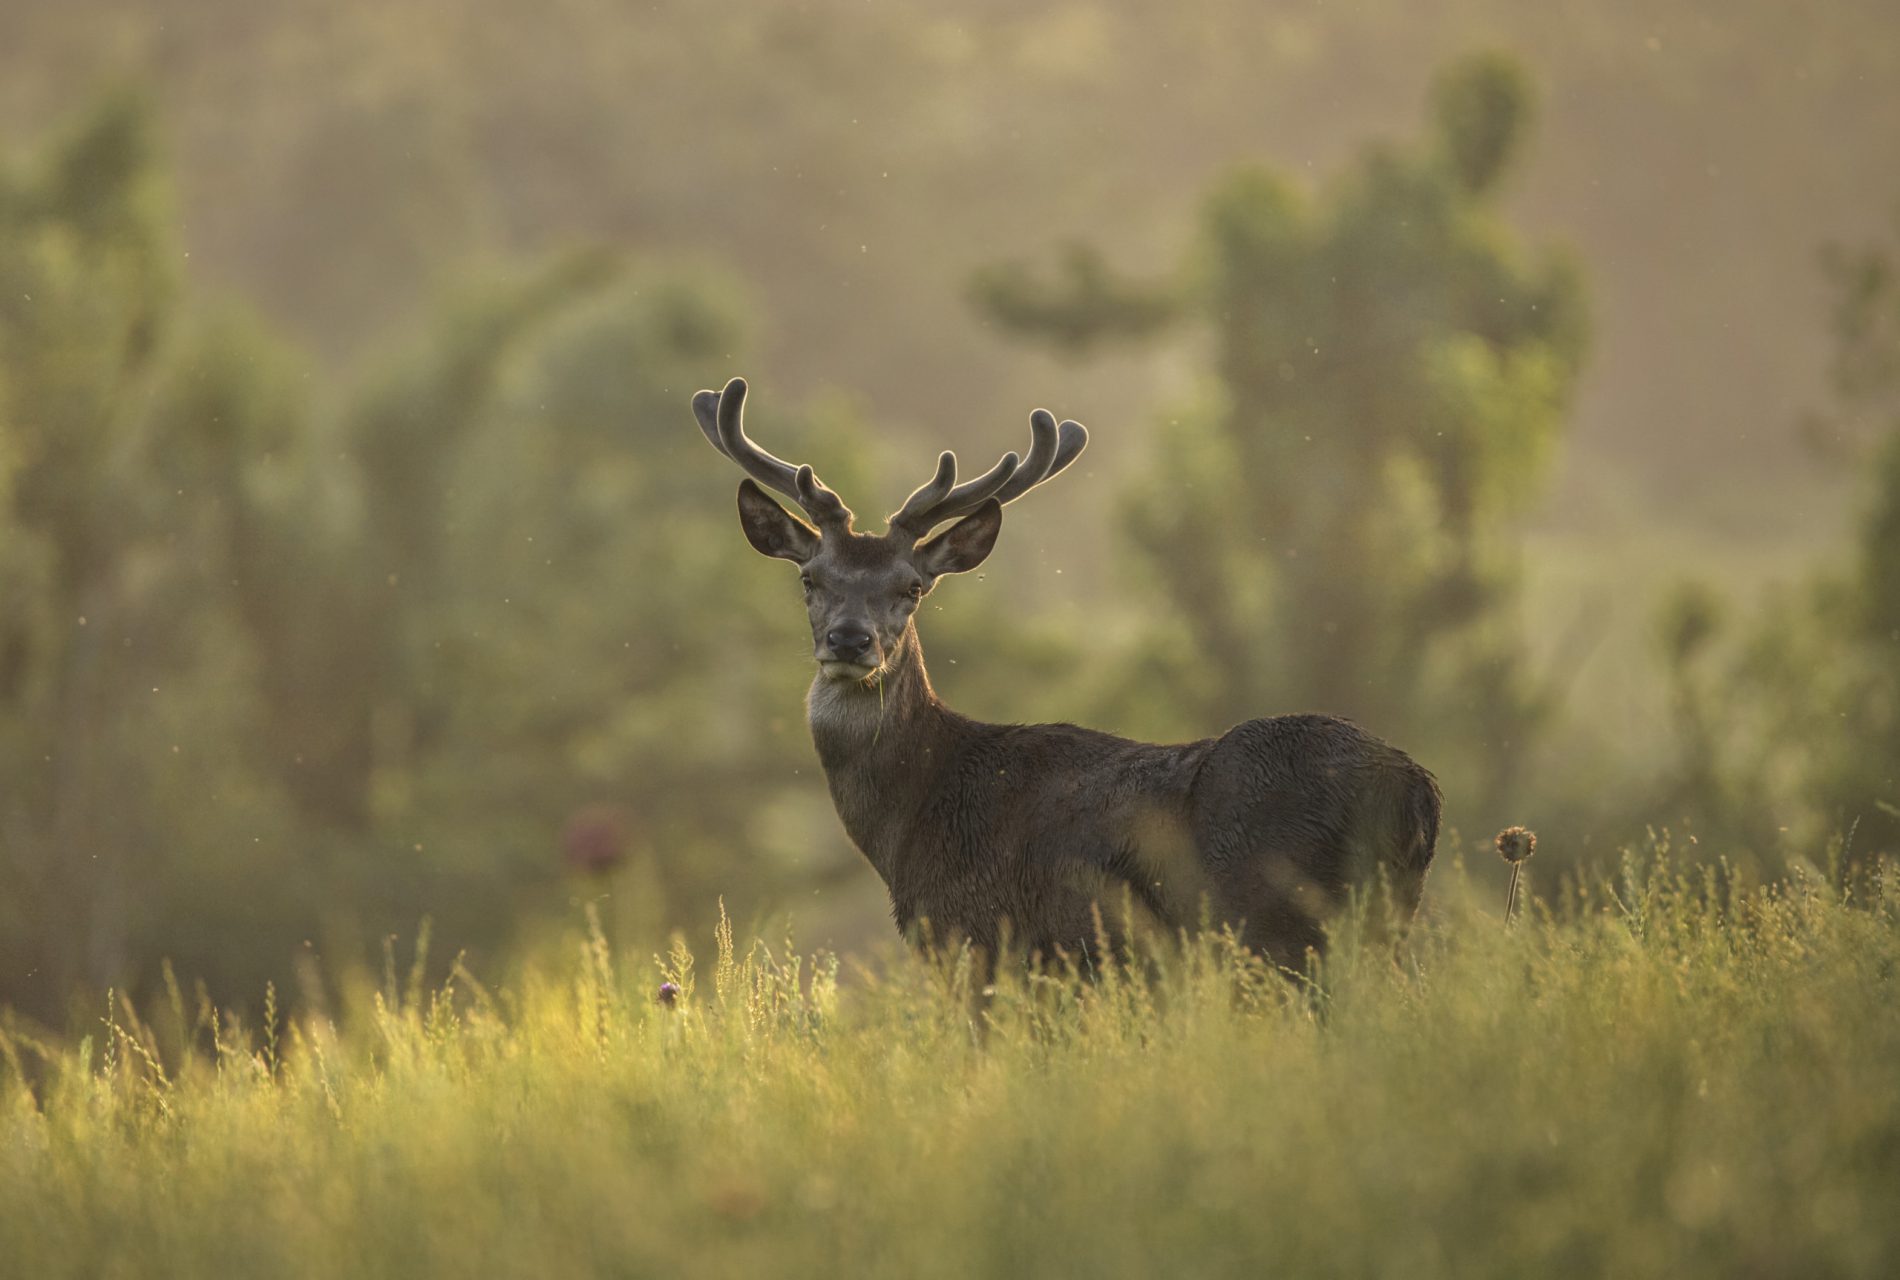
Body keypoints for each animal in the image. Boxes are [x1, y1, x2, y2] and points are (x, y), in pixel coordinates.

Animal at [699, 376, 1436, 968]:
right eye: (810, 578)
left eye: (911, 588)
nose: (851, 641)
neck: (910, 822)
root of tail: (1418, 791)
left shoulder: (981, 938)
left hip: (1283, 917)